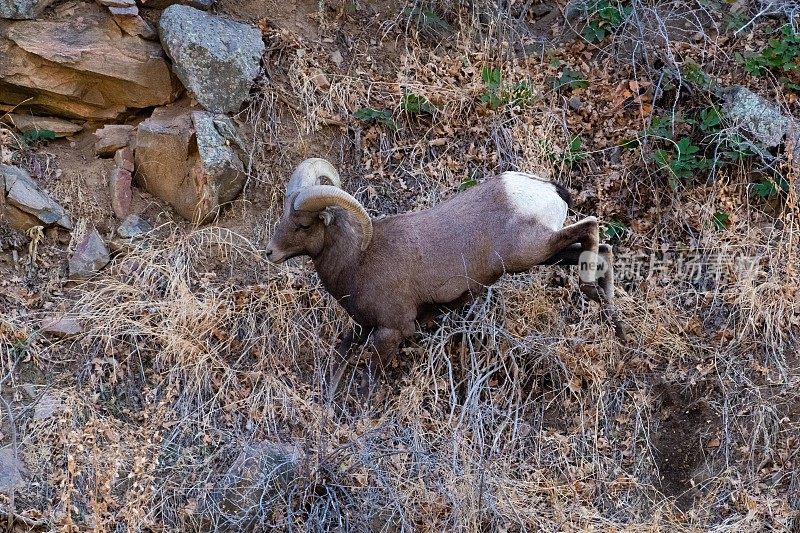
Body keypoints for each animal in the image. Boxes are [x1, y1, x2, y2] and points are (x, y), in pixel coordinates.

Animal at [268, 158, 624, 382]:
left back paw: (591, 293)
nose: (271, 252)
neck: (357, 261)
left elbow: (370, 378)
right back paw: (616, 325)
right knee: (603, 251)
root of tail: (547, 189)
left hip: (530, 252)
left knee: (591, 226)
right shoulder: (367, 328)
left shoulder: (390, 332)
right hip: (545, 255)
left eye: (302, 225)